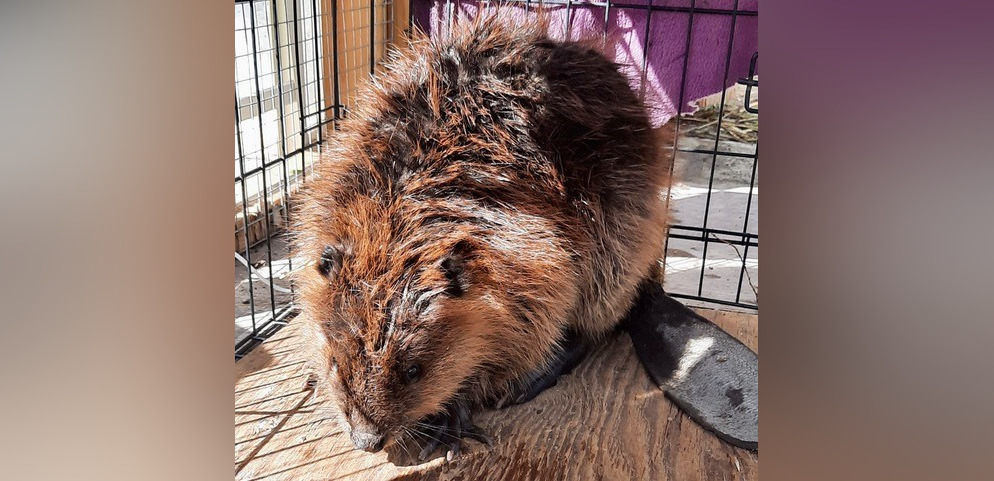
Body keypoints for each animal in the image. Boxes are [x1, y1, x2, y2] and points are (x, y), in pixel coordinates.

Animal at [290, 13, 756, 460]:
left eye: (413, 370)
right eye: (335, 361)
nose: (367, 439)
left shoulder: (534, 251)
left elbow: (539, 319)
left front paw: (453, 415)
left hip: (623, 225)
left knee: (598, 317)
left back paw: (528, 382)